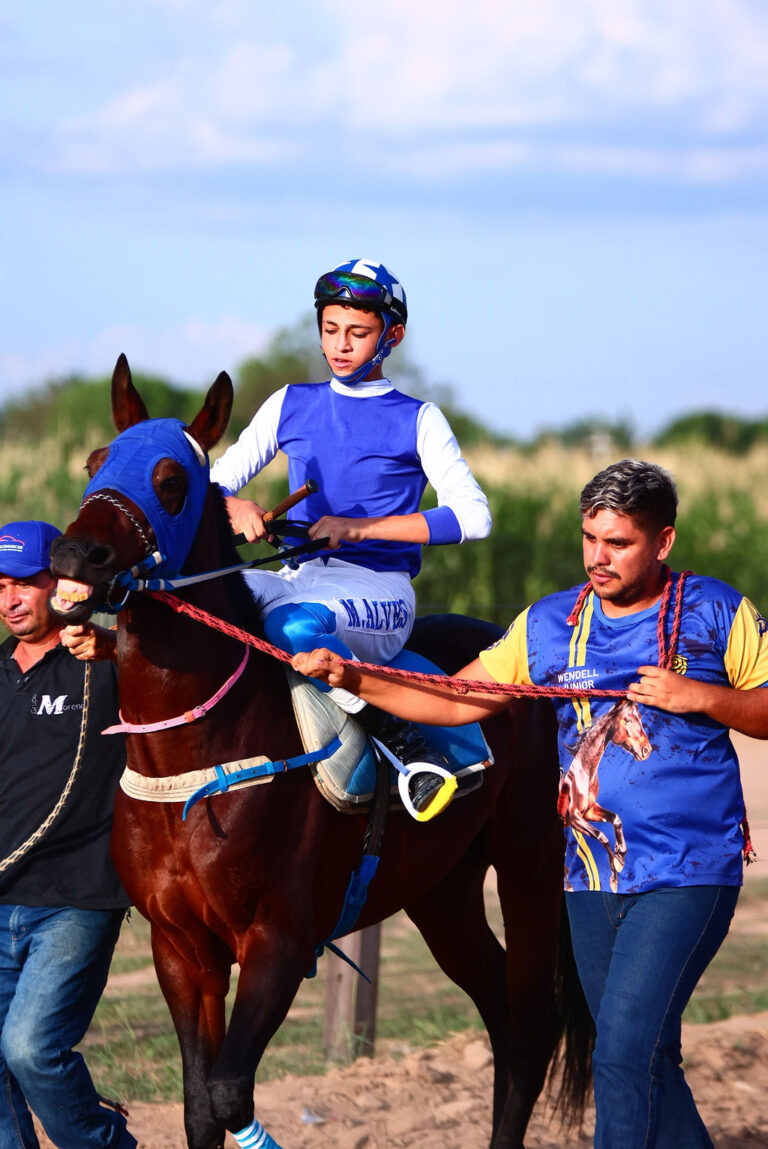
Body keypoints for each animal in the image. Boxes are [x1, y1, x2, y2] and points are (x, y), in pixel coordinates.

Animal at [49, 354, 593, 1149]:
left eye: (171, 480)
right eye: (94, 463)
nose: (70, 554)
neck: (193, 758)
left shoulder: (280, 937)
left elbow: (231, 1094)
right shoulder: (181, 949)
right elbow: (199, 1106)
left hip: (530, 864)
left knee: (529, 1022)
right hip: (442, 891)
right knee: (500, 1012)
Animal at [557, 699, 651, 892]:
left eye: (640, 716)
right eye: (628, 719)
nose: (647, 749)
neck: (584, 773)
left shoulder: (590, 811)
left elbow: (615, 819)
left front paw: (620, 854)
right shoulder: (575, 818)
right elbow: (602, 836)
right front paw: (615, 874)